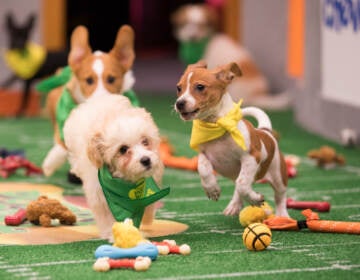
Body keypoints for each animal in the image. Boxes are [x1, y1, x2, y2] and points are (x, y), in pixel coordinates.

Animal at [64, 94, 167, 241]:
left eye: (145, 141)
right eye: (123, 149)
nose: (146, 160)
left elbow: (147, 205)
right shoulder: (99, 195)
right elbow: (107, 218)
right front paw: (113, 234)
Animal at [173, 61, 288, 218]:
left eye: (200, 87)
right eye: (179, 88)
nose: (179, 103)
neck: (217, 126)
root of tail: (265, 131)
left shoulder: (251, 157)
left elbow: (242, 184)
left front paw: (255, 199)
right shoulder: (203, 154)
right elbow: (203, 170)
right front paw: (212, 189)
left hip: (278, 177)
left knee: (279, 196)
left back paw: (282, 215)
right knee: (239, 187)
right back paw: (234, 205)